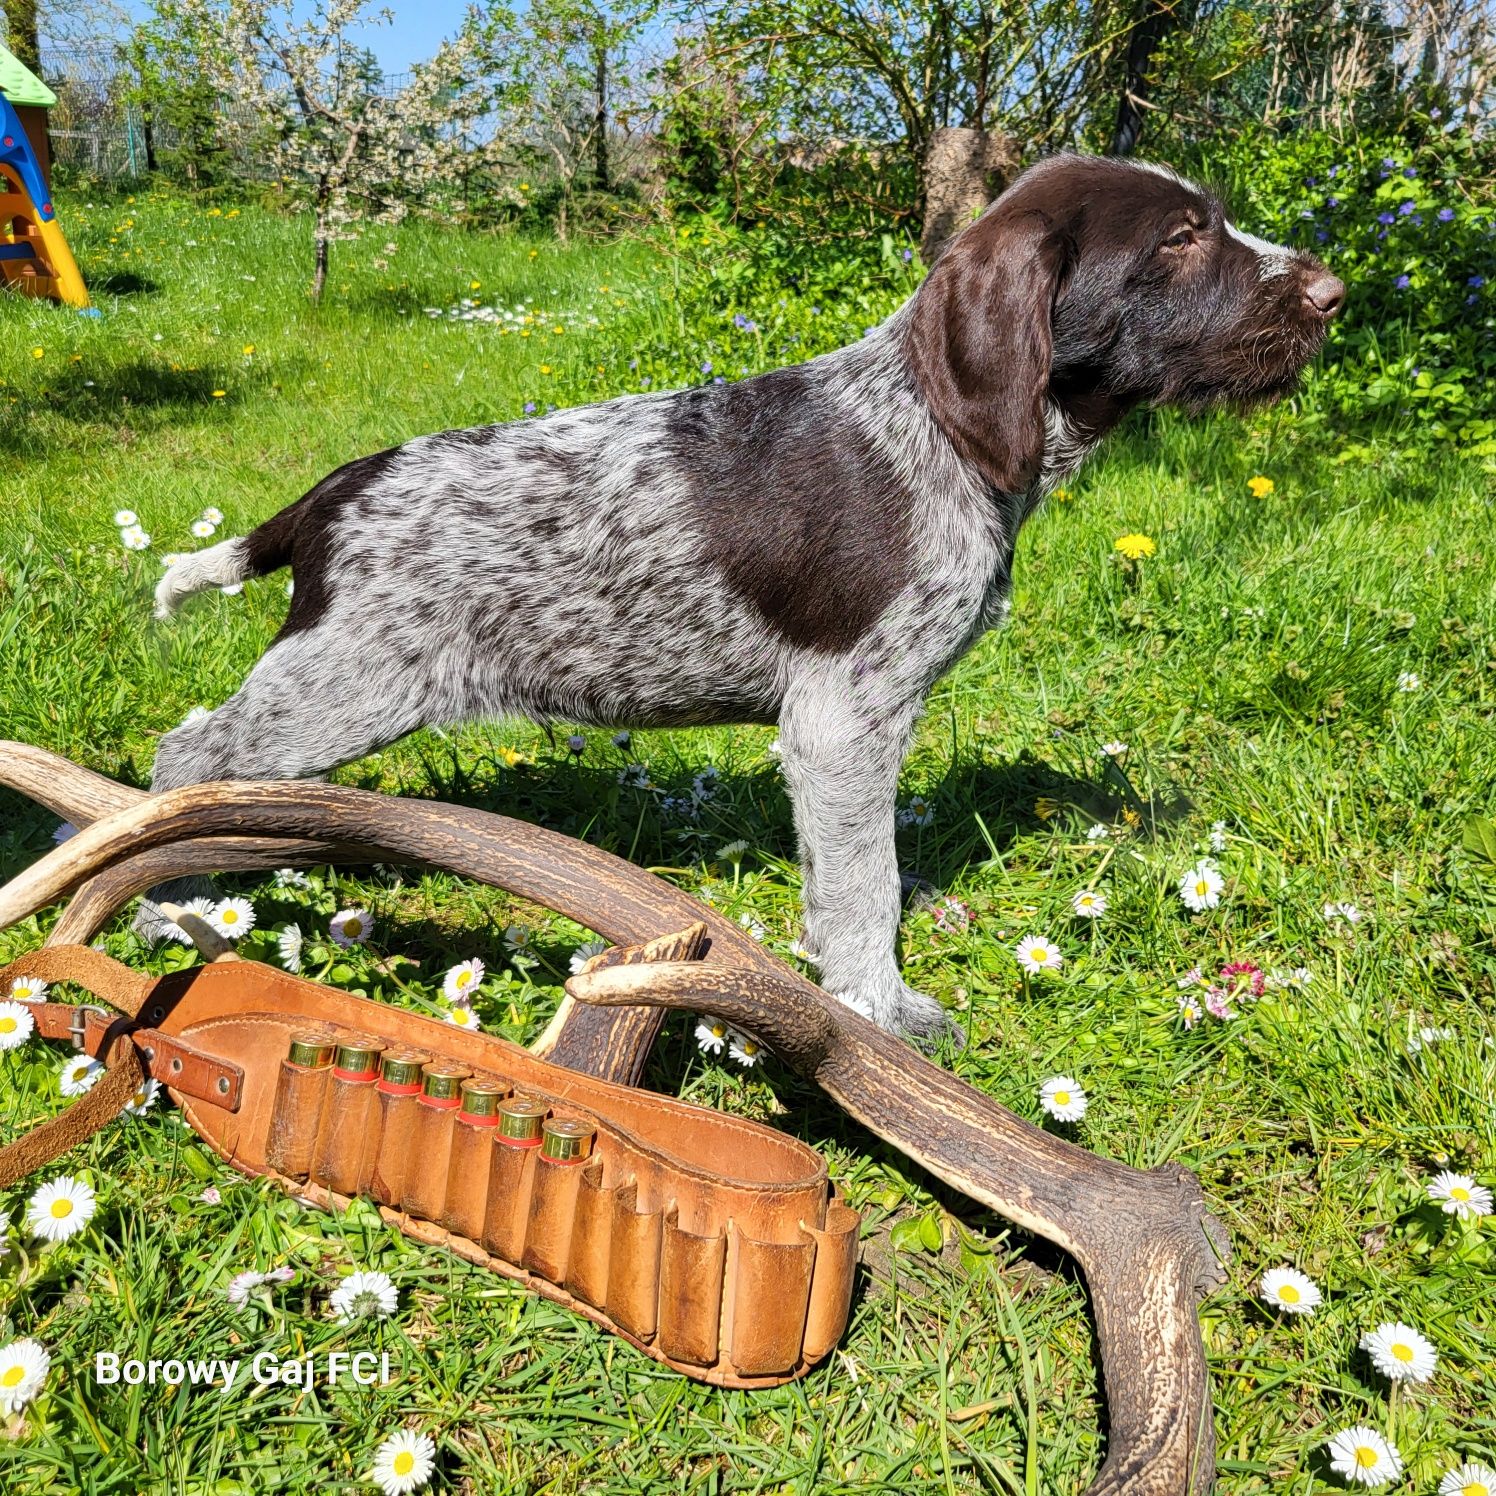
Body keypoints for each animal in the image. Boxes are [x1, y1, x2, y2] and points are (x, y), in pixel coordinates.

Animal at [148, 154, 1346, 1041]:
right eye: (1180, 239)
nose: (1334, 296)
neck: (939, 428)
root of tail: (334, 492)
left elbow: (844, 876)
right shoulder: (844, 717)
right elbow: (863, 885)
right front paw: (880, 1012)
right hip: (344, 681)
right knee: (185, 757)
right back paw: (171, 902)